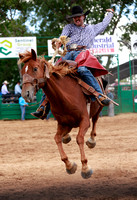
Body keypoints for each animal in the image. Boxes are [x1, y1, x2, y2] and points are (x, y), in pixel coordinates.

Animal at [19, 48, 103, 180]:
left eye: (35, 68)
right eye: (22, 71)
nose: (25, 94)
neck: (65, 96)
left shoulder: (84, 120)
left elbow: (79, 138)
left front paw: (85, 168)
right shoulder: (63, 123)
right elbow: (57, 138)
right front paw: (70, 165)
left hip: (98, 108)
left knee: (95, 120)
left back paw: (91, 140)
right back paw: (66, 137)